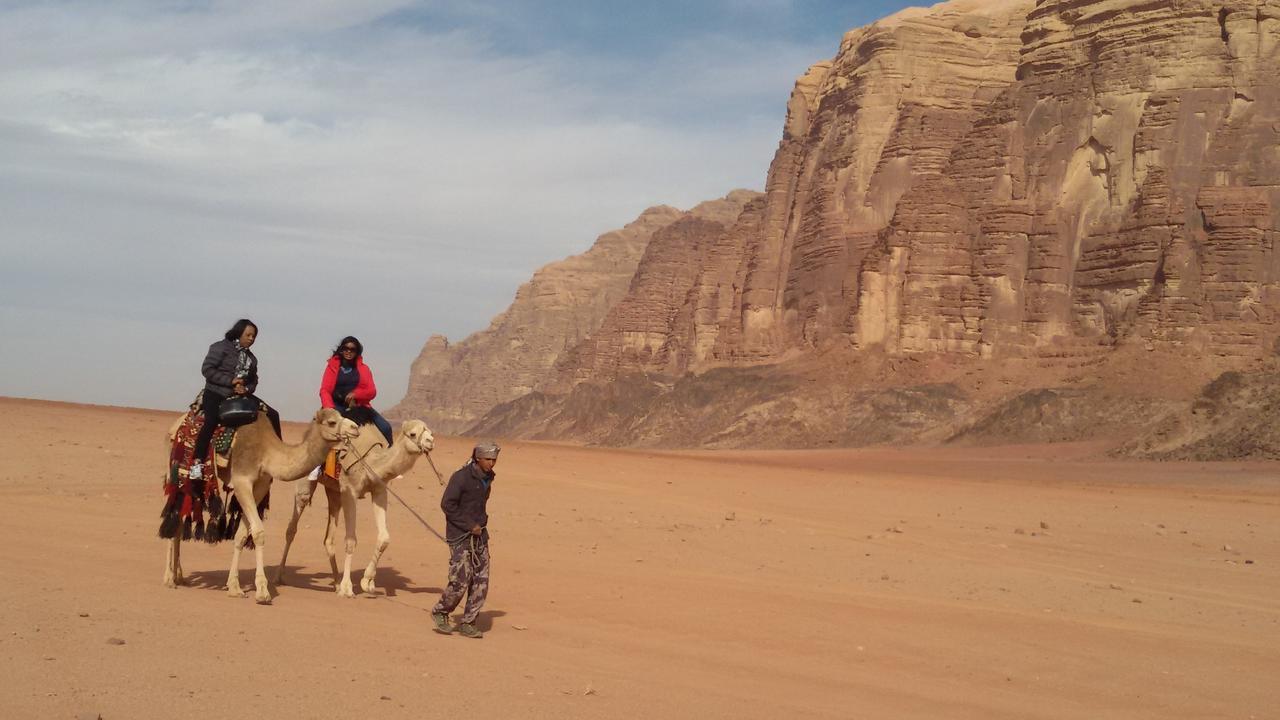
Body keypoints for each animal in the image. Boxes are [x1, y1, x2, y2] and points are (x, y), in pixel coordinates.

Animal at [162, 407, 360, 602]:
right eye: (332, 422)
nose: (355, 428)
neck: (267, 452)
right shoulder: (242, 480)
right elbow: (258, 532)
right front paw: (262, 591)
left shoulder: (261, 484)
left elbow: (242, 534)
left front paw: (234, 587)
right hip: (176, 472)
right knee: (174, 517)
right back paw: (169, 578)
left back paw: (179, 576)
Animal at [272, 417, 442, 597]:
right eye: (413, 433)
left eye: (430, 431)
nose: (431, 441)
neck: (371, 462)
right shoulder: (350, 491)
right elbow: (351, 540)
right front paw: (348, 588)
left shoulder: (379, 490)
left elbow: (384, 538)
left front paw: (367, 582)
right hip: (305, 480)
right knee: (292, 527)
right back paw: (279, 577)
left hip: (334, 491)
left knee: (328, 538)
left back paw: (336, 584)